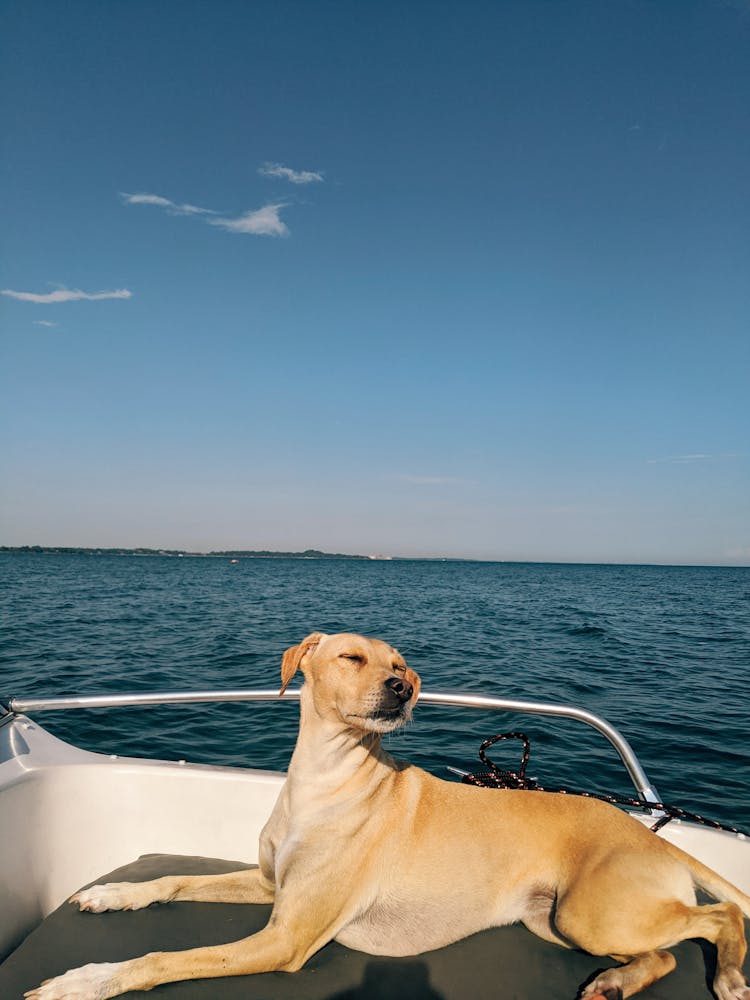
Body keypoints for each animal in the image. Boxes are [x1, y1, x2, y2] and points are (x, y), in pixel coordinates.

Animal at [25, 632, 750, 1000]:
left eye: (402, 665)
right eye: (353, 657)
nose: (402, 688)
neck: (326, 782)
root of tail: (646, 832)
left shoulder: (285, 939)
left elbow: (164, 957)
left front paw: (86, 980)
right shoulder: (270, 886)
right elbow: (172, 881)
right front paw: (114, 894)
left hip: (591, 914)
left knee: (719, 917)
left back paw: (729, 976)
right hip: (555, 922)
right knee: (663, 955)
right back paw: (618, 983)